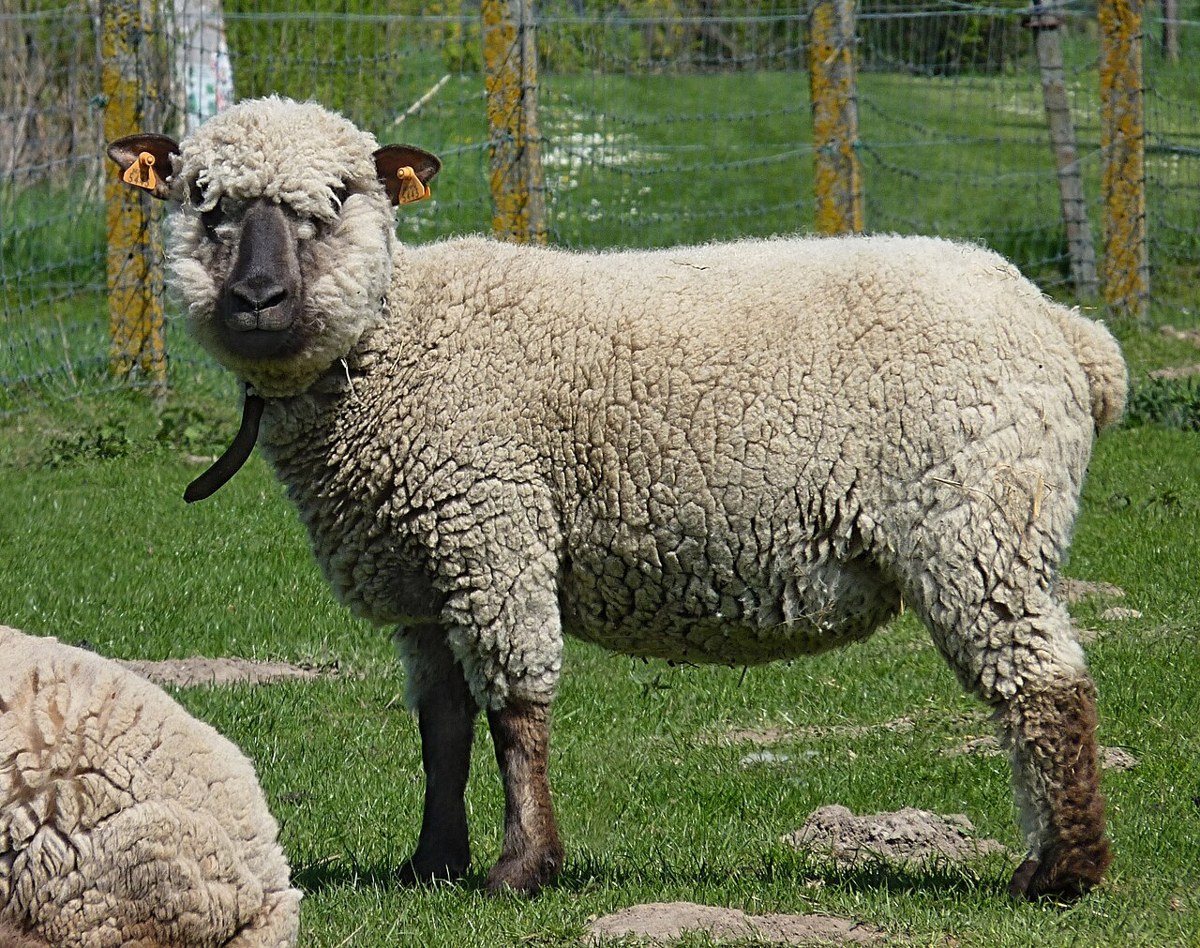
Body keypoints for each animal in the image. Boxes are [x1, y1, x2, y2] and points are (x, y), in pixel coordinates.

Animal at [107, 95, 1127, 901]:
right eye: (205, 204)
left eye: (336, 201)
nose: (258, 296)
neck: (392, 345)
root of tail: (1064, 329)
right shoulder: (424, 572)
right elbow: (442, 728)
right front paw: (430, 864)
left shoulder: (492, 526)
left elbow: (516, 712)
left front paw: (522, 869)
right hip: (993, 521)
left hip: (976, 518)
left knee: (1046, 685)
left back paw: (1060, 873)